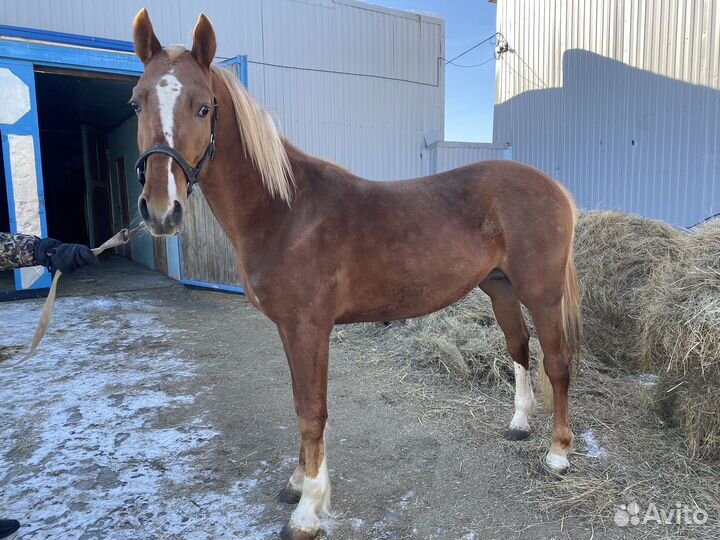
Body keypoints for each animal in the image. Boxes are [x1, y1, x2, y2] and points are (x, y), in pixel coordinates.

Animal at [131, 9, 581, 539]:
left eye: (203, 108)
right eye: (136, 102)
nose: (161, 210)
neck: (286, 210)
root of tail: (552, 186)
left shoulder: (309, 328)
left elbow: (312, 412)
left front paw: (308, 510)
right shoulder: (289, 329)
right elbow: (299, 404)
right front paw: (296, 483)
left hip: (542, 292)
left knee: (557, 362)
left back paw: (558, 454)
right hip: (500, 288)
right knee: (519, 348)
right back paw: (519, 424)